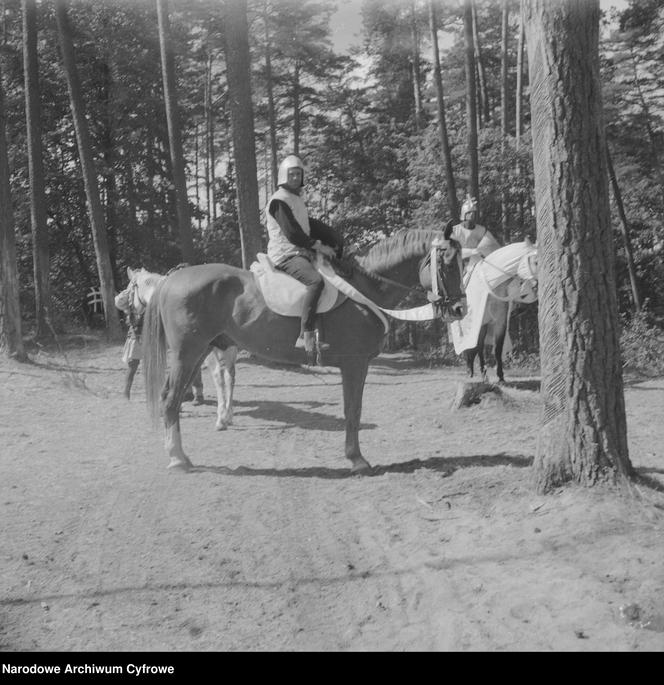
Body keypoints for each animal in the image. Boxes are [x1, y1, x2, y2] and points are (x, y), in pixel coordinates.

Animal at [116, 266, 239, 430]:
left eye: (130, 287)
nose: (118, 301)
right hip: (226, 348)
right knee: (229, 376)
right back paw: (228, 415)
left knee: (219, 377)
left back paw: (221, 418)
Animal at [141, 228, 464, 470]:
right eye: (448, 263)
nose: (461, 309)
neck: (363, 292)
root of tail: (172, 278)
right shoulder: (355, 364)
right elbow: (353, 409)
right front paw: (356, 459)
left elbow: (354, 408)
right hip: (187, 353)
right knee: (170, 399)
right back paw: (178, 459)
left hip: (199, 353)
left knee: (174, 397)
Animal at [440, 239, 540, 380]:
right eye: (536, 262)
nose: (537, 287)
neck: (492, 288)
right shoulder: (478, 323)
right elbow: (475, 347)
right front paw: (475, 371)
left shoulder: (499, 322)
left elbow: (497, 348)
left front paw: (500, 375)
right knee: (470, 347)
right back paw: (471, 369)